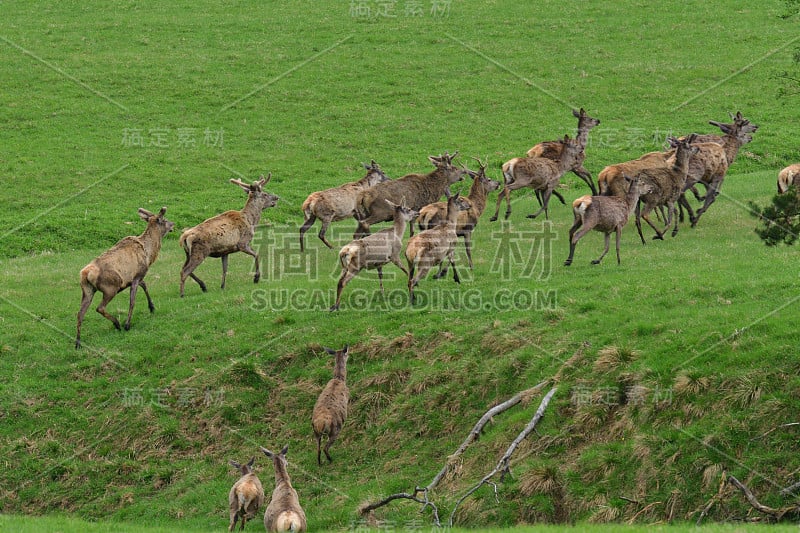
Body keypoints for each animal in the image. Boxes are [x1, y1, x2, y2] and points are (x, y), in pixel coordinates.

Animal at [74, 206, 173, 348]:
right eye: (164, 220)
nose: (173, 224)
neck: (149, 254)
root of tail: (86, 274)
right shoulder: (137, 275)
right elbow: (132, 301)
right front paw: (127, 324)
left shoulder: (134, 278)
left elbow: (145, 285)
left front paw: (152, 307)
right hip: (110, 288)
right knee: (99, 308)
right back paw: (117, 324)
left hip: (87, 291)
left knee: (80, 314)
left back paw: (78, 342)